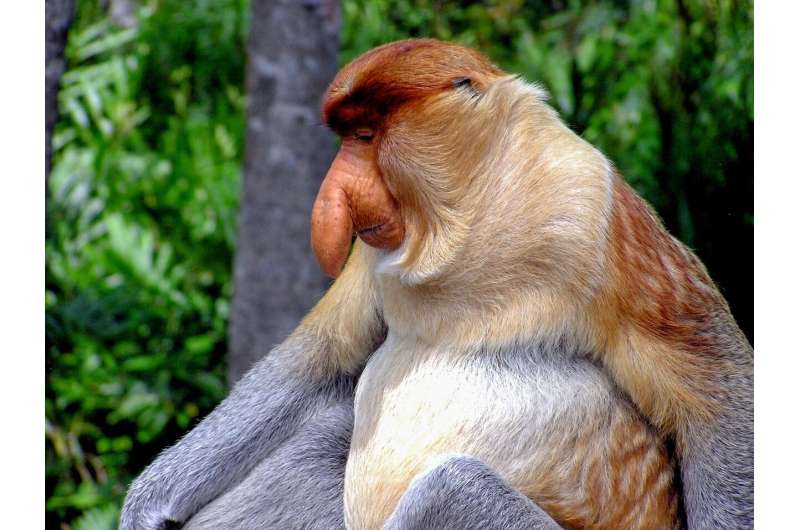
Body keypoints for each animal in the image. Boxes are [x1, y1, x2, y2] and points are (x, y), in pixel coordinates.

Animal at [121, 39, 753, 530]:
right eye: (347, 137)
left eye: (366, 135)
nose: (333, 194)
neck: (470, 216)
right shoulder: (375, 248)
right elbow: (318, 359)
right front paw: (146, 504)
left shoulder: (594, 207)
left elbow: (714, 391)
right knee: (327, 434)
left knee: (449, 488)